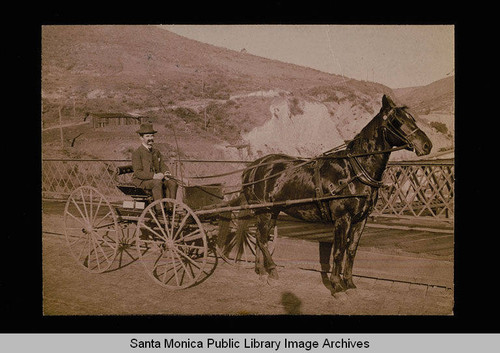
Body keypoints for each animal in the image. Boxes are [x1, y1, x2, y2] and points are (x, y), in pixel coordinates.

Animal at [240, 95, 432, 292]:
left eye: (412, 118)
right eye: (398, 121)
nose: (427, 145)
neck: (354, 171)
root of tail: (253, 167)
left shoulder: (360, 219)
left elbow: (351, 250)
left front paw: (349, 282)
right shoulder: (342, 218)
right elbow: (339, 251)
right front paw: (337, 286)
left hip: (273, 210)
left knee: (261, 237)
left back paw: (262, 272)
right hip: (264, 211)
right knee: (261, 239)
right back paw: (272, 271)